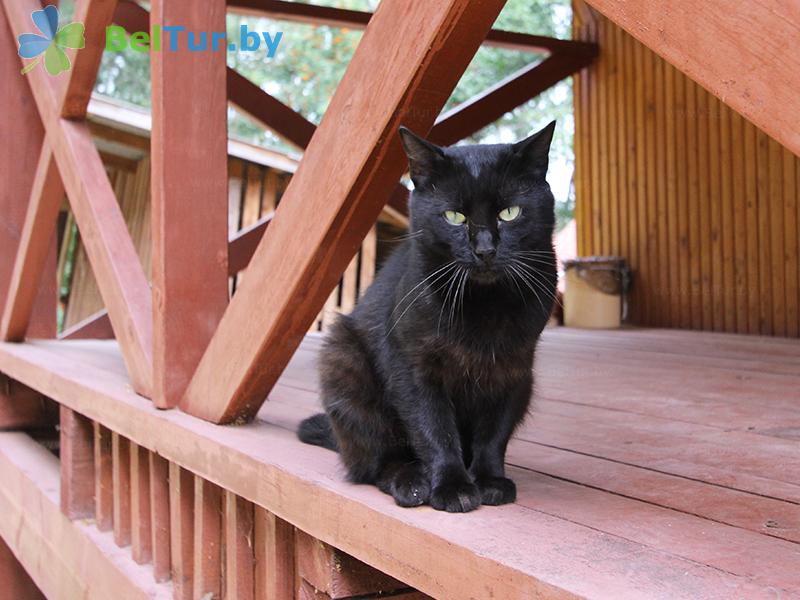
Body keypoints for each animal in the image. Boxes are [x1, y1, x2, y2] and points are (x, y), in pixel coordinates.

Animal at [298, 122, 556, 510]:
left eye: (510, 213)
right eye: (454, 216)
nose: (485, 250)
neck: (484, 306)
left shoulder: (513, 370)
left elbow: (493, 434)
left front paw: (489, 481)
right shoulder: (413, 367)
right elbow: (434, 430)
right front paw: (453, 487)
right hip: (342, 359)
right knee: (375, 464)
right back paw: (412, 483)